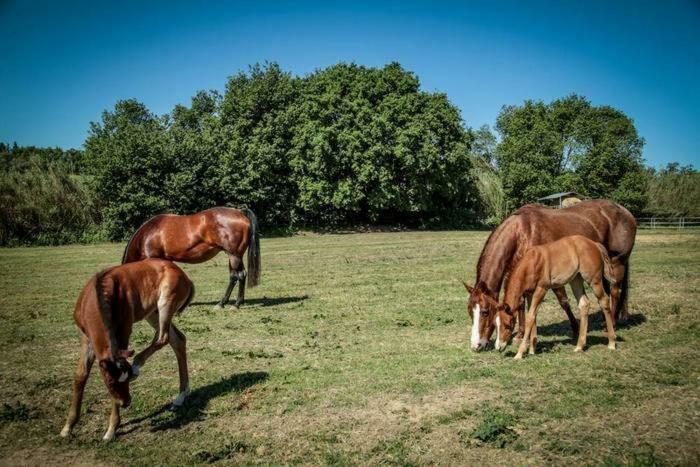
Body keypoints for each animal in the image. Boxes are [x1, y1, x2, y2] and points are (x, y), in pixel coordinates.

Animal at [60, 260, 194, 442]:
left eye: (127, 380)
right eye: (110, 382)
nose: (126, 402)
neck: (98, 296)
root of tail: (184, 276)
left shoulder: (124, 331)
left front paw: (111, 430)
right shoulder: (86, 335)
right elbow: (80, 375)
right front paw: (67, 427)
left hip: (165, 304)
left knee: (163, 338)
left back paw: (138, 365)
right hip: (152, 313)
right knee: (178, 340)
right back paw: (181, 396)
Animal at [121, 208, 262, 310]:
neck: (148, 234)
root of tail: (241, 214)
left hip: (233, 255)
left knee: (239, 275)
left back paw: (233, 304)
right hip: (235, 256)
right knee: (236, 276)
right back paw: (230, 302)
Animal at [464, 200, 636, 352]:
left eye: (485, 312)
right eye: (470, 311)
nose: (476, 346)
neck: (522, 231)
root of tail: (625, 211)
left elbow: (563, 302)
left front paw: (575, 328)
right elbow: (520, 305)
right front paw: (520, 335)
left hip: (617, 262)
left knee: (614, 291)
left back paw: (611, 325)